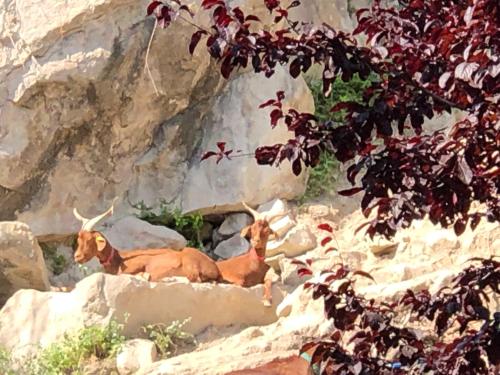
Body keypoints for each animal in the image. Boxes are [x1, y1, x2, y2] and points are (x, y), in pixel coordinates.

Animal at [72, 200, 219, 282]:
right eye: (79, 238)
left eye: (89, 239)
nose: (77, 257)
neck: (119, 259)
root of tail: (214, 267)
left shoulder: (139, 263)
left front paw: (143, 275)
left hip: (189, 261)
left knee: (194, 278)